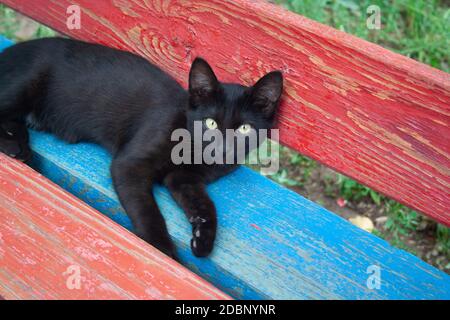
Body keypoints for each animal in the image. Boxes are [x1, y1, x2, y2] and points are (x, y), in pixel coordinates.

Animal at [0, 37, 282, 258]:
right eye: (210, 123)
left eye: (244, 129)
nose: (222, 149)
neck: (192, 151)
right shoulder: (130, 165)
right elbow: (147, 210)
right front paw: (162, 250)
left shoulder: (184, 178)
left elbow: (205, 204)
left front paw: (203, 237)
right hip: (24, 84)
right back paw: (14, 146)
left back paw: (20, 146)